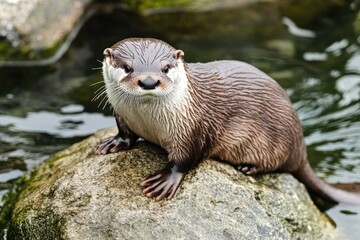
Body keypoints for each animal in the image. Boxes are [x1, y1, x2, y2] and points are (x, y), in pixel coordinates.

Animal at [95, 37, 360, 204]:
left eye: (166, 67)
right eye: (127, 67)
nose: (149, 81)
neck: (147, 121)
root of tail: (301, 144)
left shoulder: (193, 128)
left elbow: (186, 159)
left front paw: (165, 180)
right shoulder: (121, 114)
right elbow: (125, 133)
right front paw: (113, 143)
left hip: (277, 142)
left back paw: (248, 167)